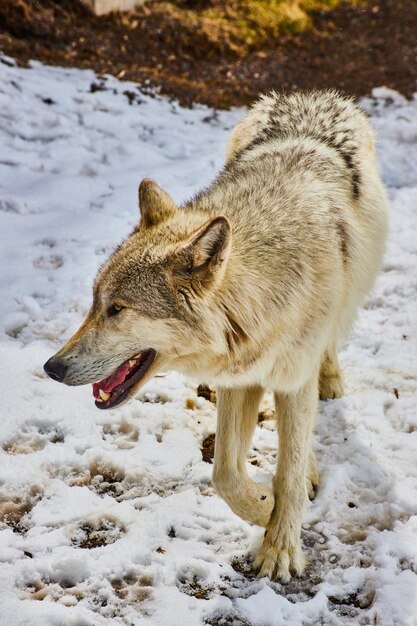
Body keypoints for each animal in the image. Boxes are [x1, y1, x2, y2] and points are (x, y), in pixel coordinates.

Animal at [44, 91, 388, 580]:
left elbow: (287, 468)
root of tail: (309, 95)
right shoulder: (240, 376)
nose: (51, 367)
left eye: (118, 309)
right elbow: (225, 473)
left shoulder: (291, 377)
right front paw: (264, 506)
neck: (265, 296)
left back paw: (329, 385)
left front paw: (280, 548)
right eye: (95, 302)